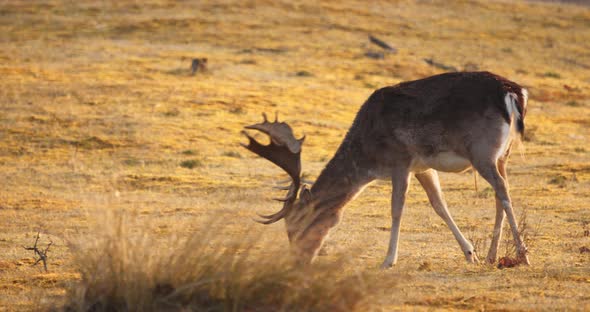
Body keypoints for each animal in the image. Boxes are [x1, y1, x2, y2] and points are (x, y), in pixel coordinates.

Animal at [240, 71, 532, 268]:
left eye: (296, 223)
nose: (298, 260)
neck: (369, 153)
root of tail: (513, 92)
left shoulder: (400, 159)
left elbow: (396, 209)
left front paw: (388, 260)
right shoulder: (422, 166)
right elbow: (439, 205)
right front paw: (470, 253)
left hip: (481, 151)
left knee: (502, 190)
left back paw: (522, 254)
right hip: (501, 154)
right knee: (500, 192)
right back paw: (492, 255)